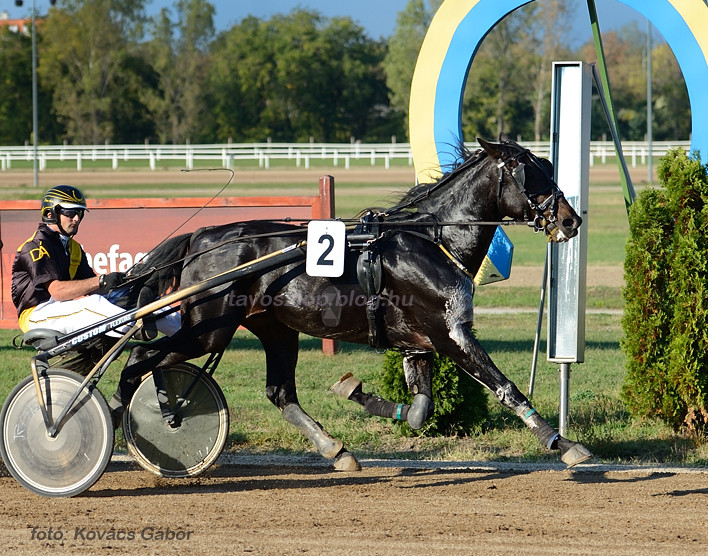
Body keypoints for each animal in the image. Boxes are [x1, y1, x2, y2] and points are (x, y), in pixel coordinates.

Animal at [116, 138, 592, 470]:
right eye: (531, 174)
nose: (572, 220)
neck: (433, 241)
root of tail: (202, 236)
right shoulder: (450, 334)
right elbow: (505, 387)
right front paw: (562, 443)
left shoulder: (418, 344)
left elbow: (420, 411)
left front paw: (357, 392)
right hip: (208, 330)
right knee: (138, 360)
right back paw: (145, 417)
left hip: (275, 328)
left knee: (280, 392)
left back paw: (336, 449)